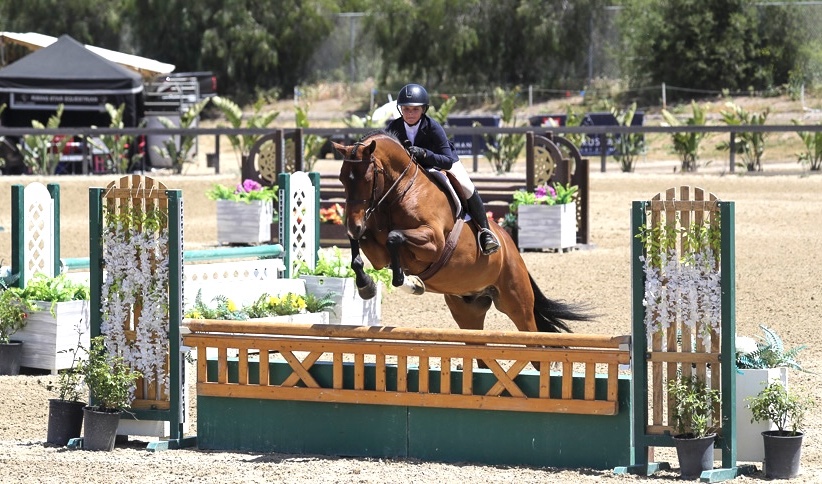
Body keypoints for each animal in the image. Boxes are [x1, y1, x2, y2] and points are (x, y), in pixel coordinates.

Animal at [332, 130, 596, 334]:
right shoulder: (377, 251)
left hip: (517, 304)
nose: (353, 224)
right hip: (467, 310)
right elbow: (362, 250)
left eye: (368, 178)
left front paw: (412, 283)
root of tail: (512, 249)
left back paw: (489, 241)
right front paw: (366, 285)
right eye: (342, 178)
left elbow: (394, 237)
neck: (400, 192)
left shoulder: (433, 243)